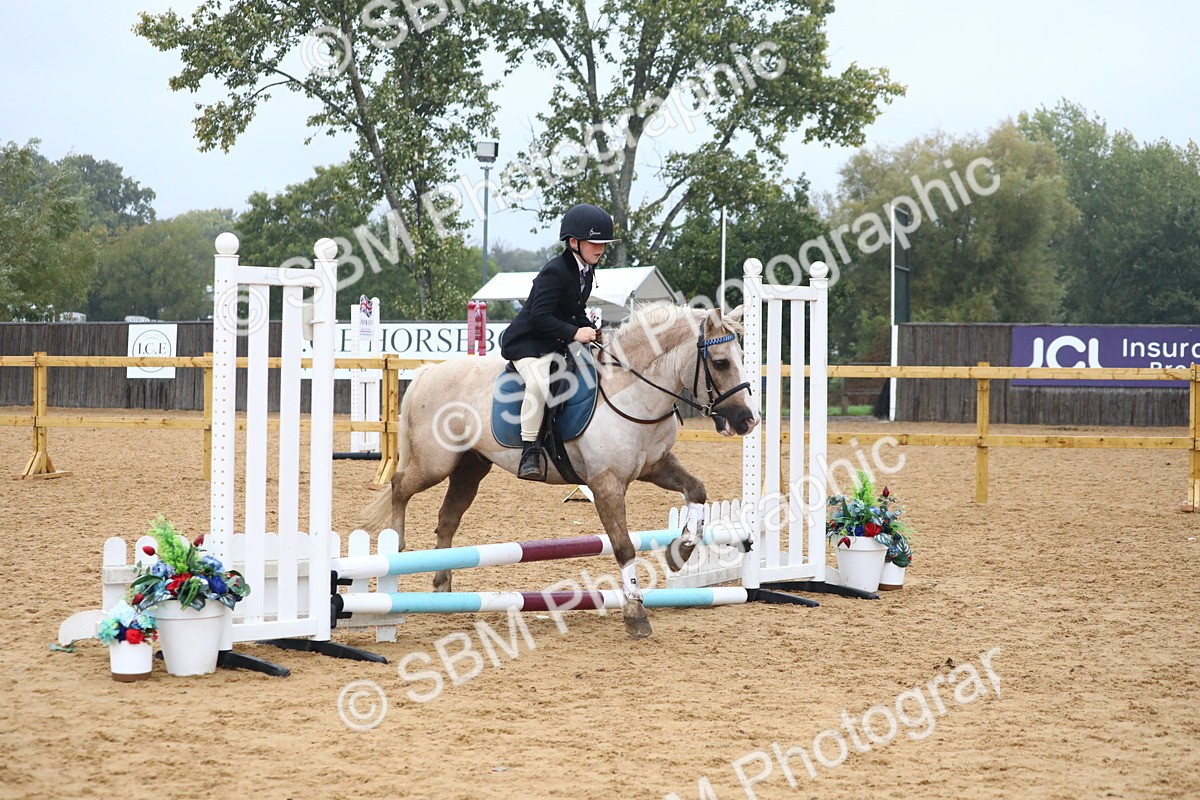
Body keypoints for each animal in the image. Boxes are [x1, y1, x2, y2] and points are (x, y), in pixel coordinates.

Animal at [365, 303, 759, 638]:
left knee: (446, 520)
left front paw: (681, 552)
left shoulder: (655, 466)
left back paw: (444, 588)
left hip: (470, 469)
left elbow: (697, 490)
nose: (748, 420)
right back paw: (395, 548)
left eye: (741, 359)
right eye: (721, 363)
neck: (632, 393)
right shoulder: (606, 483)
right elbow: (623, 546)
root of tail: (430, 371)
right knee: (399, 486)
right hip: (437, 463)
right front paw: (635, 613)